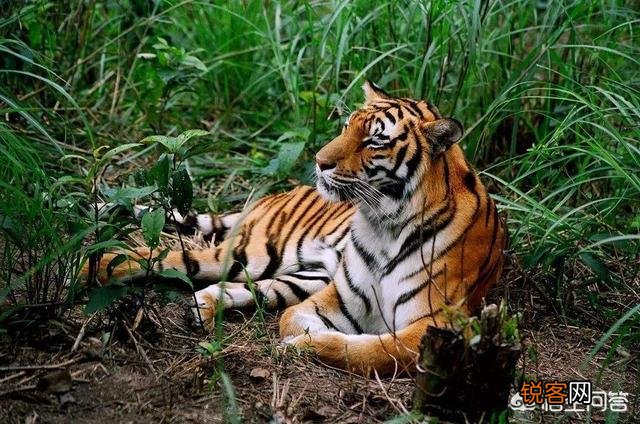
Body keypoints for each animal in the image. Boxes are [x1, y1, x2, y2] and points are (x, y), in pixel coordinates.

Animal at [88, 81, 507, 375]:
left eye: (374, 141)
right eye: (346, 126)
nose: (320, 162)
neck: (384, 224)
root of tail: (275, 195)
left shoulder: (436, 324)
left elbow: (372, 350)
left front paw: (308, 346)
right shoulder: (339, 297)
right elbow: (295, 321)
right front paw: (302, 340)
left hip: (303, 272)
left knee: (249, 286)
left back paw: (200, 306)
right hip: (256, 251)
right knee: (169, 257)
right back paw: (93, 268)